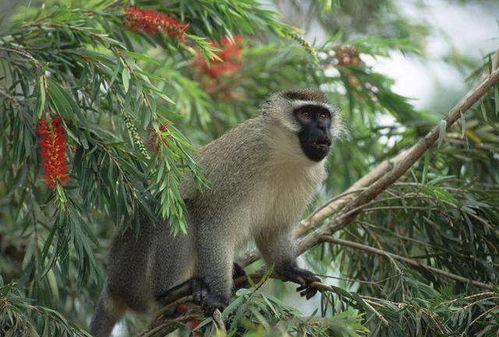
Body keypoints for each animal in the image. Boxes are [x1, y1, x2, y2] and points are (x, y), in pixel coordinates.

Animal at [90, 88, 342, 334]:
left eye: (323, 116)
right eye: (306, 114)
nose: (322, 129)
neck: (283, 155)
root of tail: (113, 284)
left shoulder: (311, 176)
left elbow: (273, 230)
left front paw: (290, 270)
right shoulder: (239, 165)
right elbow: (216, 229)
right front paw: (219, 296)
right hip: (134, 274)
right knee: (181, 212)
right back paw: (169, 295)